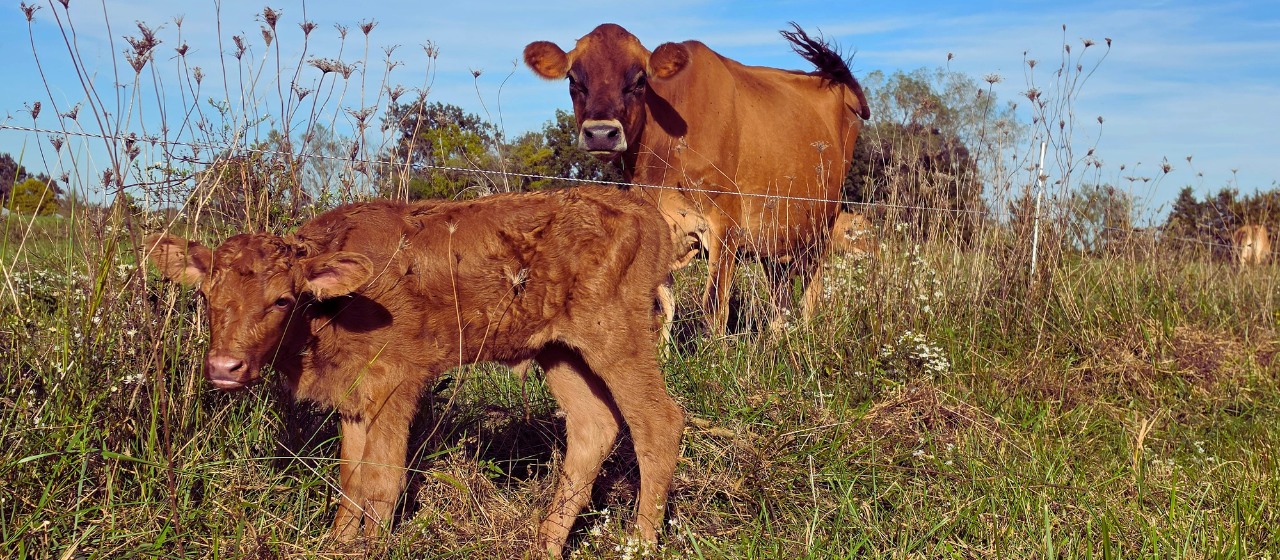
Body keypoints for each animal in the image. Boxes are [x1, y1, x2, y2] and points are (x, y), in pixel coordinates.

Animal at [144, 187, 684, 557]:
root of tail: (642, 210)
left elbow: (383, 480)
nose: (224, 366)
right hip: (560, 350)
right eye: (206, 296)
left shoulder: (395, 386)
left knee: (657, 422)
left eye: (282, 299)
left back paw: (638, 544)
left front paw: (372, 548)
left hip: (617, 336)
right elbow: (350, 480)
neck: (336, 307)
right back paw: (545, 547)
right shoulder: (354, 396)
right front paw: (337, 544)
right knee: (593, 426)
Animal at [524, 23, 870, 335]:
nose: (600, 133)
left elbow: (714, 306)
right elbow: (659, 307)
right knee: (779, 296)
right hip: (778, 235)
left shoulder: (725, 226)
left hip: (823, 225)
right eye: (573, 79)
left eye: (639, 80)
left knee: (811, 289)